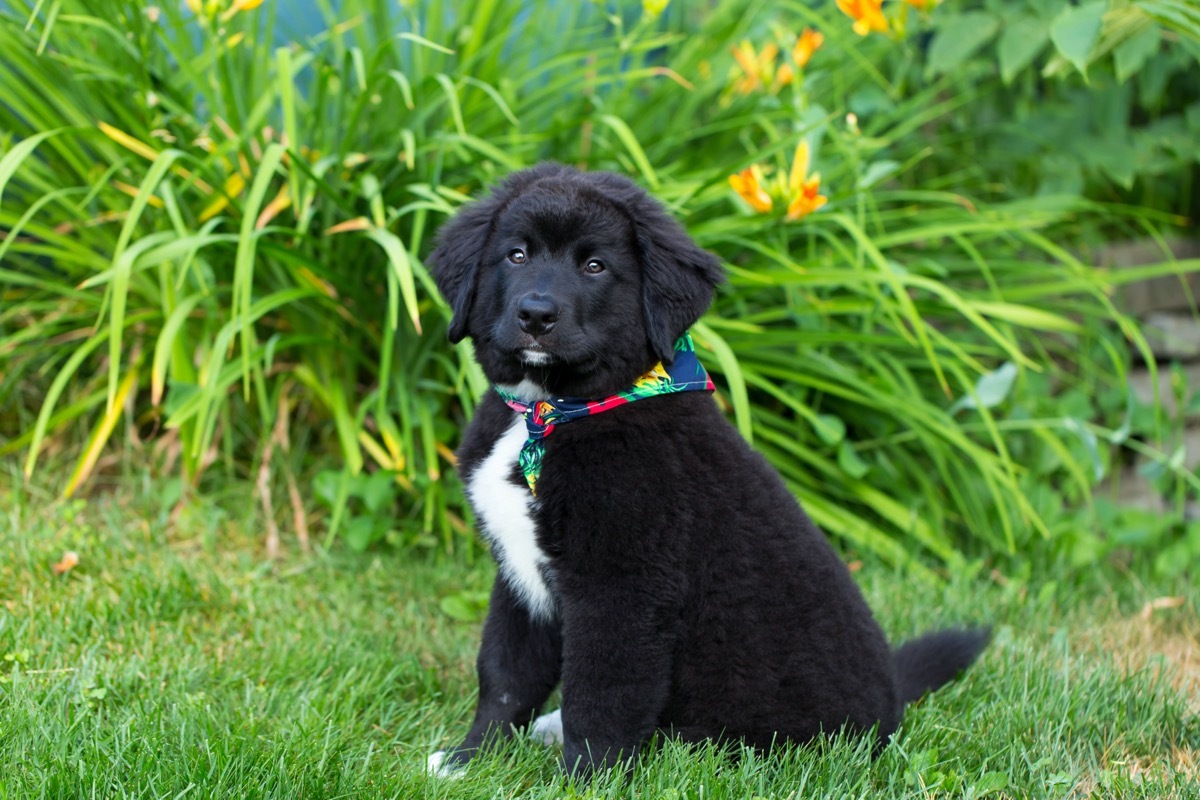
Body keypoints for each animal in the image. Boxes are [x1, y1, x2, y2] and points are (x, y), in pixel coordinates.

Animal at [427, 164, 988, 782]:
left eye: (595, 266)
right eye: (517, 255)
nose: (535, 315)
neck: (552, 411)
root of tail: (893, 704)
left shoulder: (623, 588)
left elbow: (599, 696)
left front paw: (581, 782)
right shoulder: (518, 574)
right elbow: (504, 675)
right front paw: (470, 760)